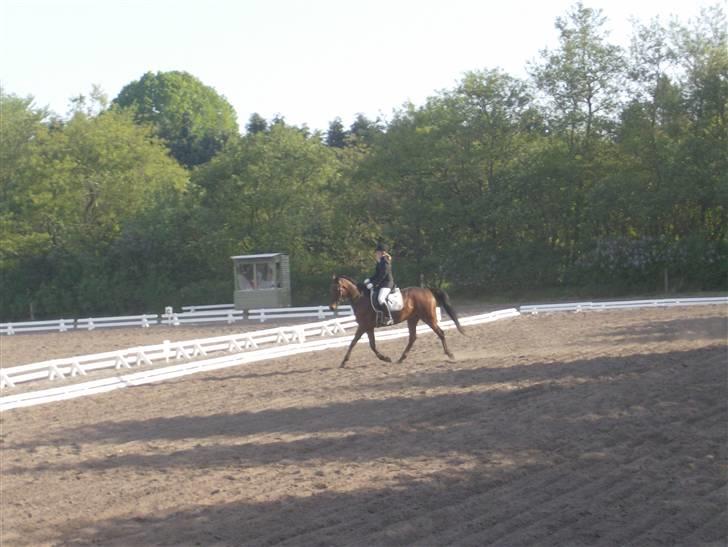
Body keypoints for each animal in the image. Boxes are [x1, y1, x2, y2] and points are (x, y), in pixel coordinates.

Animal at [330, 276, 466, 370]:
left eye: (337, 289)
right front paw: (386, 358)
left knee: (440, 333)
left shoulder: (363, 326)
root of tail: (427, 290)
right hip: (413, 319)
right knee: (413, 337)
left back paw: (450, 355)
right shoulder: (368, 327)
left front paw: (343, 362)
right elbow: (371, 345)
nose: (331, 307)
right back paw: (401, 359)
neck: (360, 298)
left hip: (428, 318)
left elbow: (353, 342)